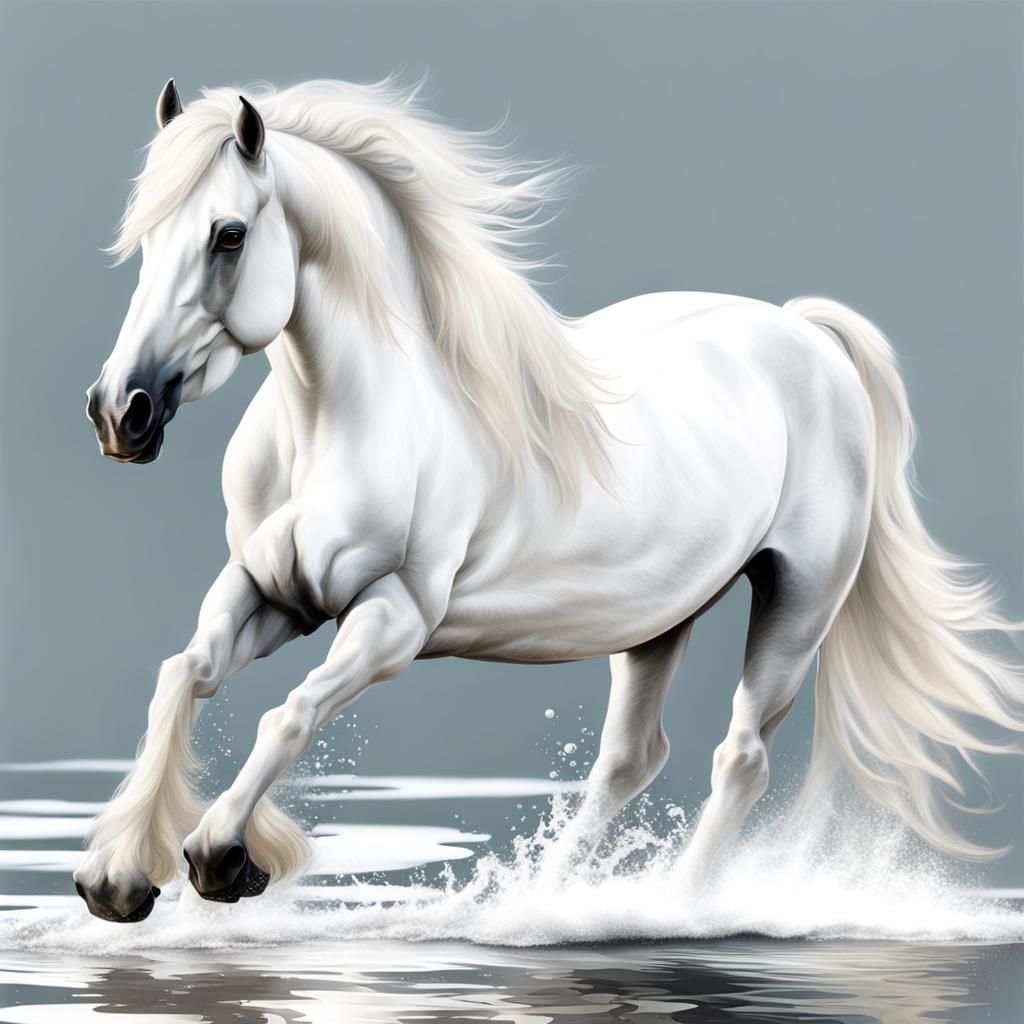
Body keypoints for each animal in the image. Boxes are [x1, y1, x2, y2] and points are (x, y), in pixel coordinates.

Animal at [75, 78, 1024, 923]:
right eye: (145, 238)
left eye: (228, 234)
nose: (121, 411)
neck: (340, 426)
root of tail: (808, 333)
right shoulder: (266, 590)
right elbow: (182, 677)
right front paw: (114, 879)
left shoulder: (394, 617)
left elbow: (289, 714)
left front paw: (220, 858)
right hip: (660, 618)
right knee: (630, 761)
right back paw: (535, 908)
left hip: (799, 601)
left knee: (741, 757)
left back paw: (672, 912)